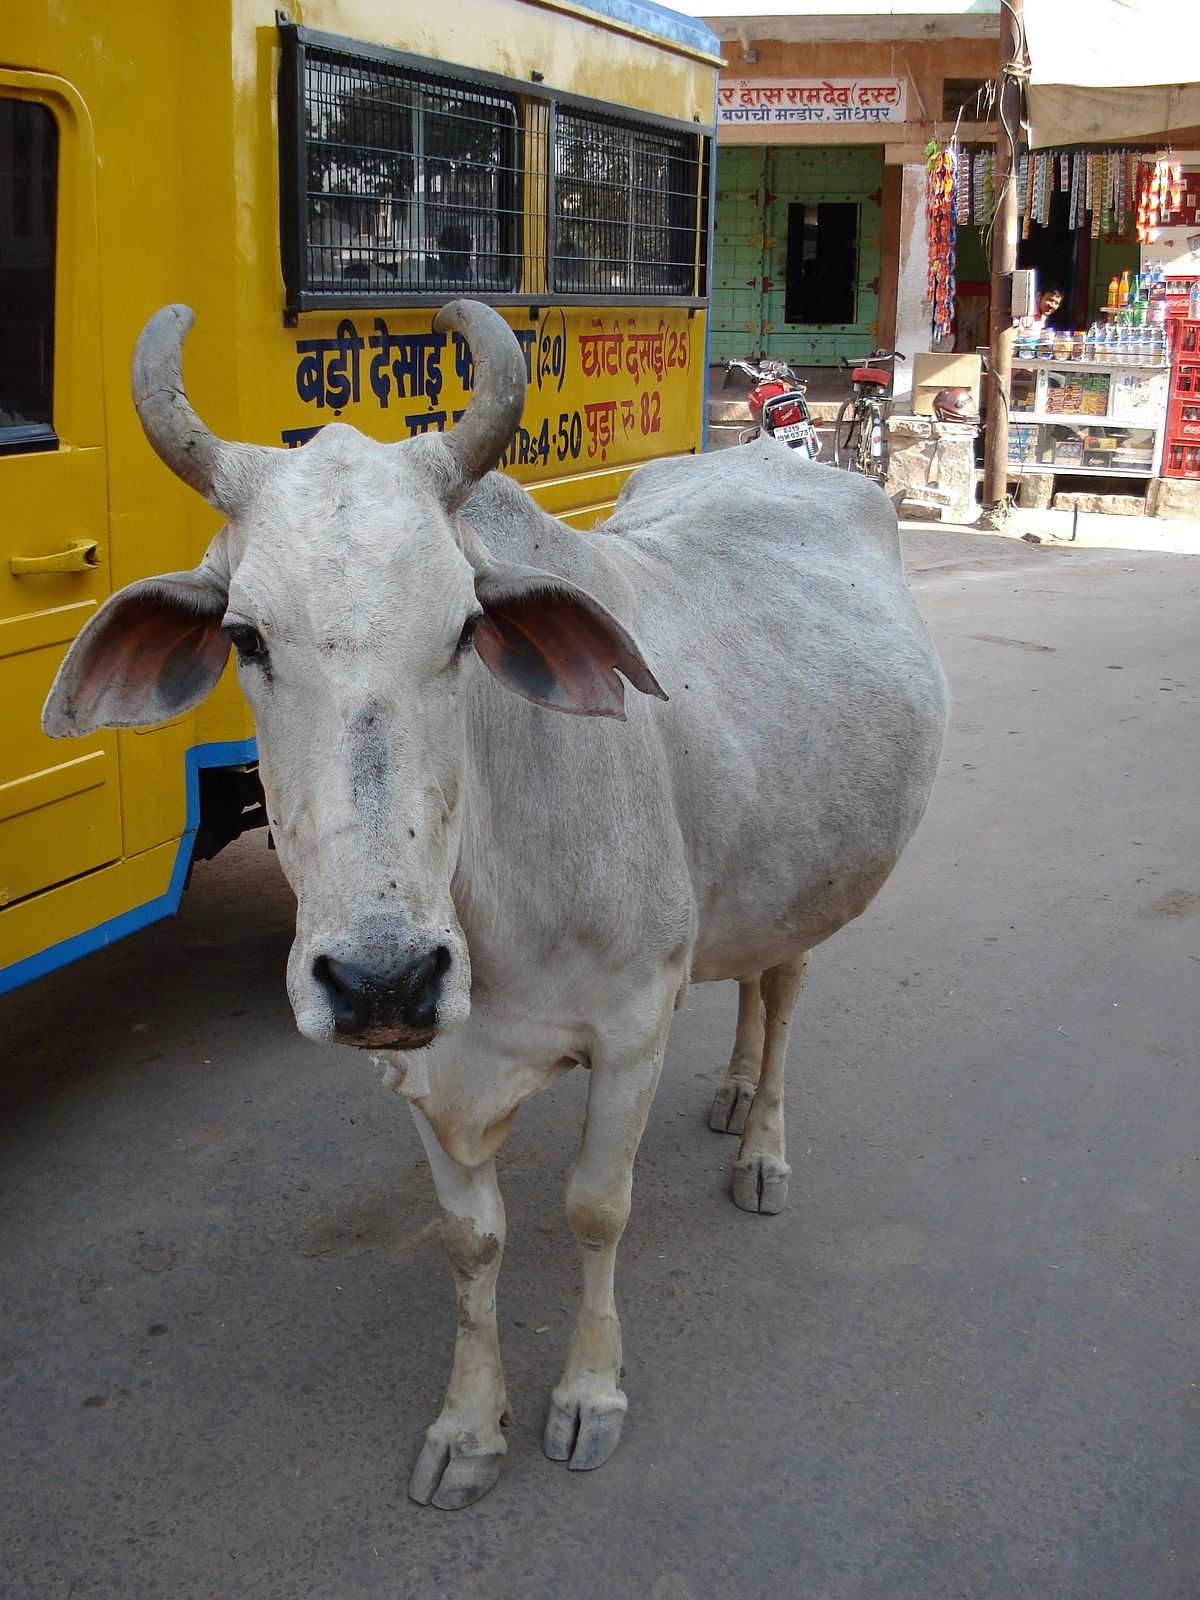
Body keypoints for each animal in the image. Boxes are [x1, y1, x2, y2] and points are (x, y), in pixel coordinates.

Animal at [43, 299, 948, 1510]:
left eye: (467, 628)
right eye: (243, 637)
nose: (381, 976)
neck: (489, 889)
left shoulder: (629, 1027)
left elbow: (596, 1208)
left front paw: (588, 1396)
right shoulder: (426, 1060)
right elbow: (469, 1243)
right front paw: (469, 1428)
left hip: (818, 879)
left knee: (784, 988)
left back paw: (761, 1144)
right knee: (749, 978)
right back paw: (728, 1091)